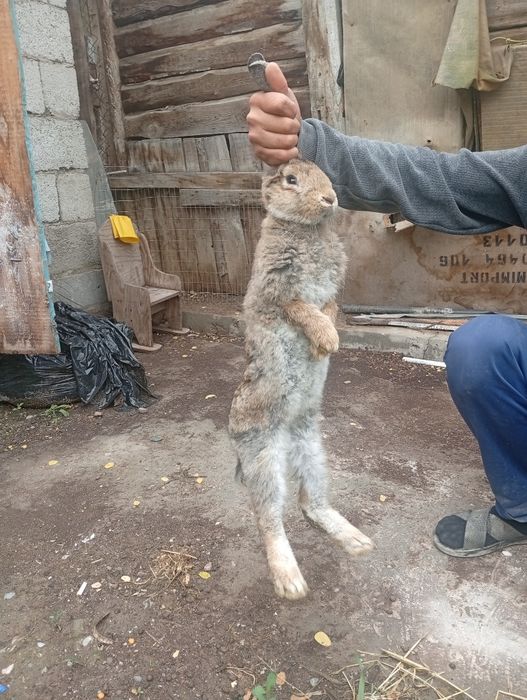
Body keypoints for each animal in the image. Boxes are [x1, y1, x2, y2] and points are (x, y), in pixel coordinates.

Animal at [229, 159, 373, 600]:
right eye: (291, 180)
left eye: (324, 172)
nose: (330, 198)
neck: (307, 230)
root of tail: (289, 436)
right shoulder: (279, 292)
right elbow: (303, 310)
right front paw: (327, 341)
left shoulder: (329, 293)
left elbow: (328, 307)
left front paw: (328, 343)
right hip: (263, 458)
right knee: (269, 517)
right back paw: (289, 580)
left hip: (314, 451)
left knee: (311, 504)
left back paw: (356, 541)